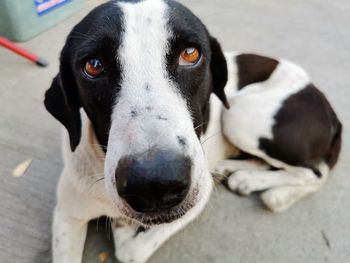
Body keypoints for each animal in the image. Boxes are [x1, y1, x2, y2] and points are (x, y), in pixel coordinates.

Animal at [43, 0, 342, 263]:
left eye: (190, 53)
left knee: (313, 174)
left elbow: (131, 251)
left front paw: (123, 229)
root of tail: (331, 110)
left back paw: (270, 192)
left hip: (240, 114)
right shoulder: (66, 215)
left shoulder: (196, 200)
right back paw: (239, 173)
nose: (155, 184)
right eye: (93, 66)